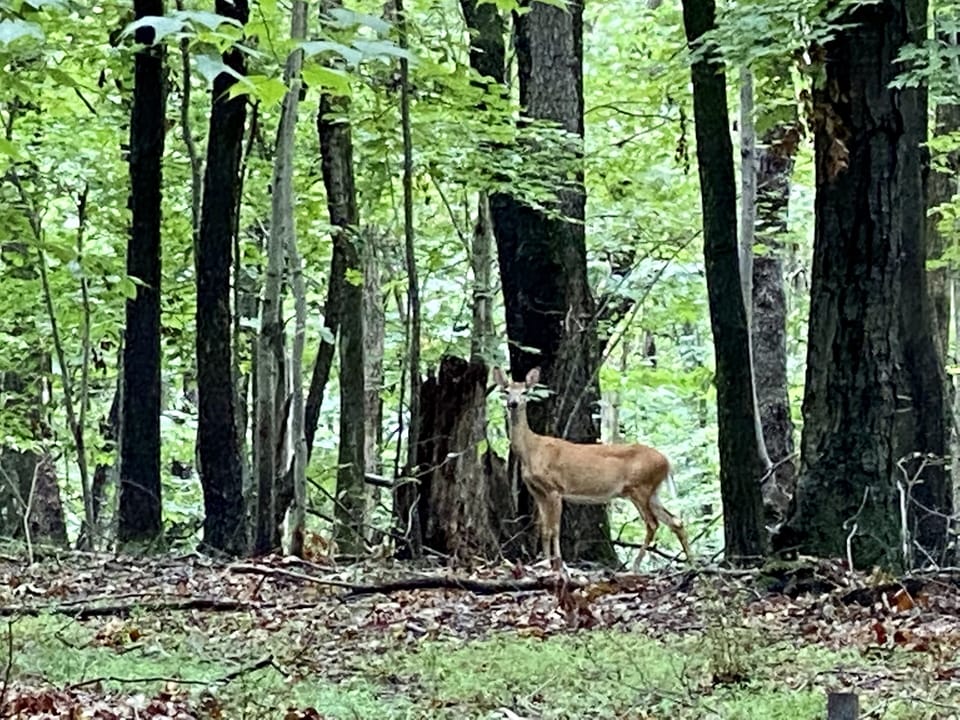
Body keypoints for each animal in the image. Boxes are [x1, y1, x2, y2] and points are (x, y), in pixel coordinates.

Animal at [493, 366, 693, 573]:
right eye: (506, 391)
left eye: (525, 392)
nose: (513, 403)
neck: (532, 450)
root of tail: (667, 462)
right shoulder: (537, 491)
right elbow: (544, 529)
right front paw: (545, 563)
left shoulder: (555, 488)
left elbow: (555, 528)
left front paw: (559, 562)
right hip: (652, 492)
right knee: (676, 521)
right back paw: (693, 563)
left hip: (640, 487)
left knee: (652, 524)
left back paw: (636, 566)